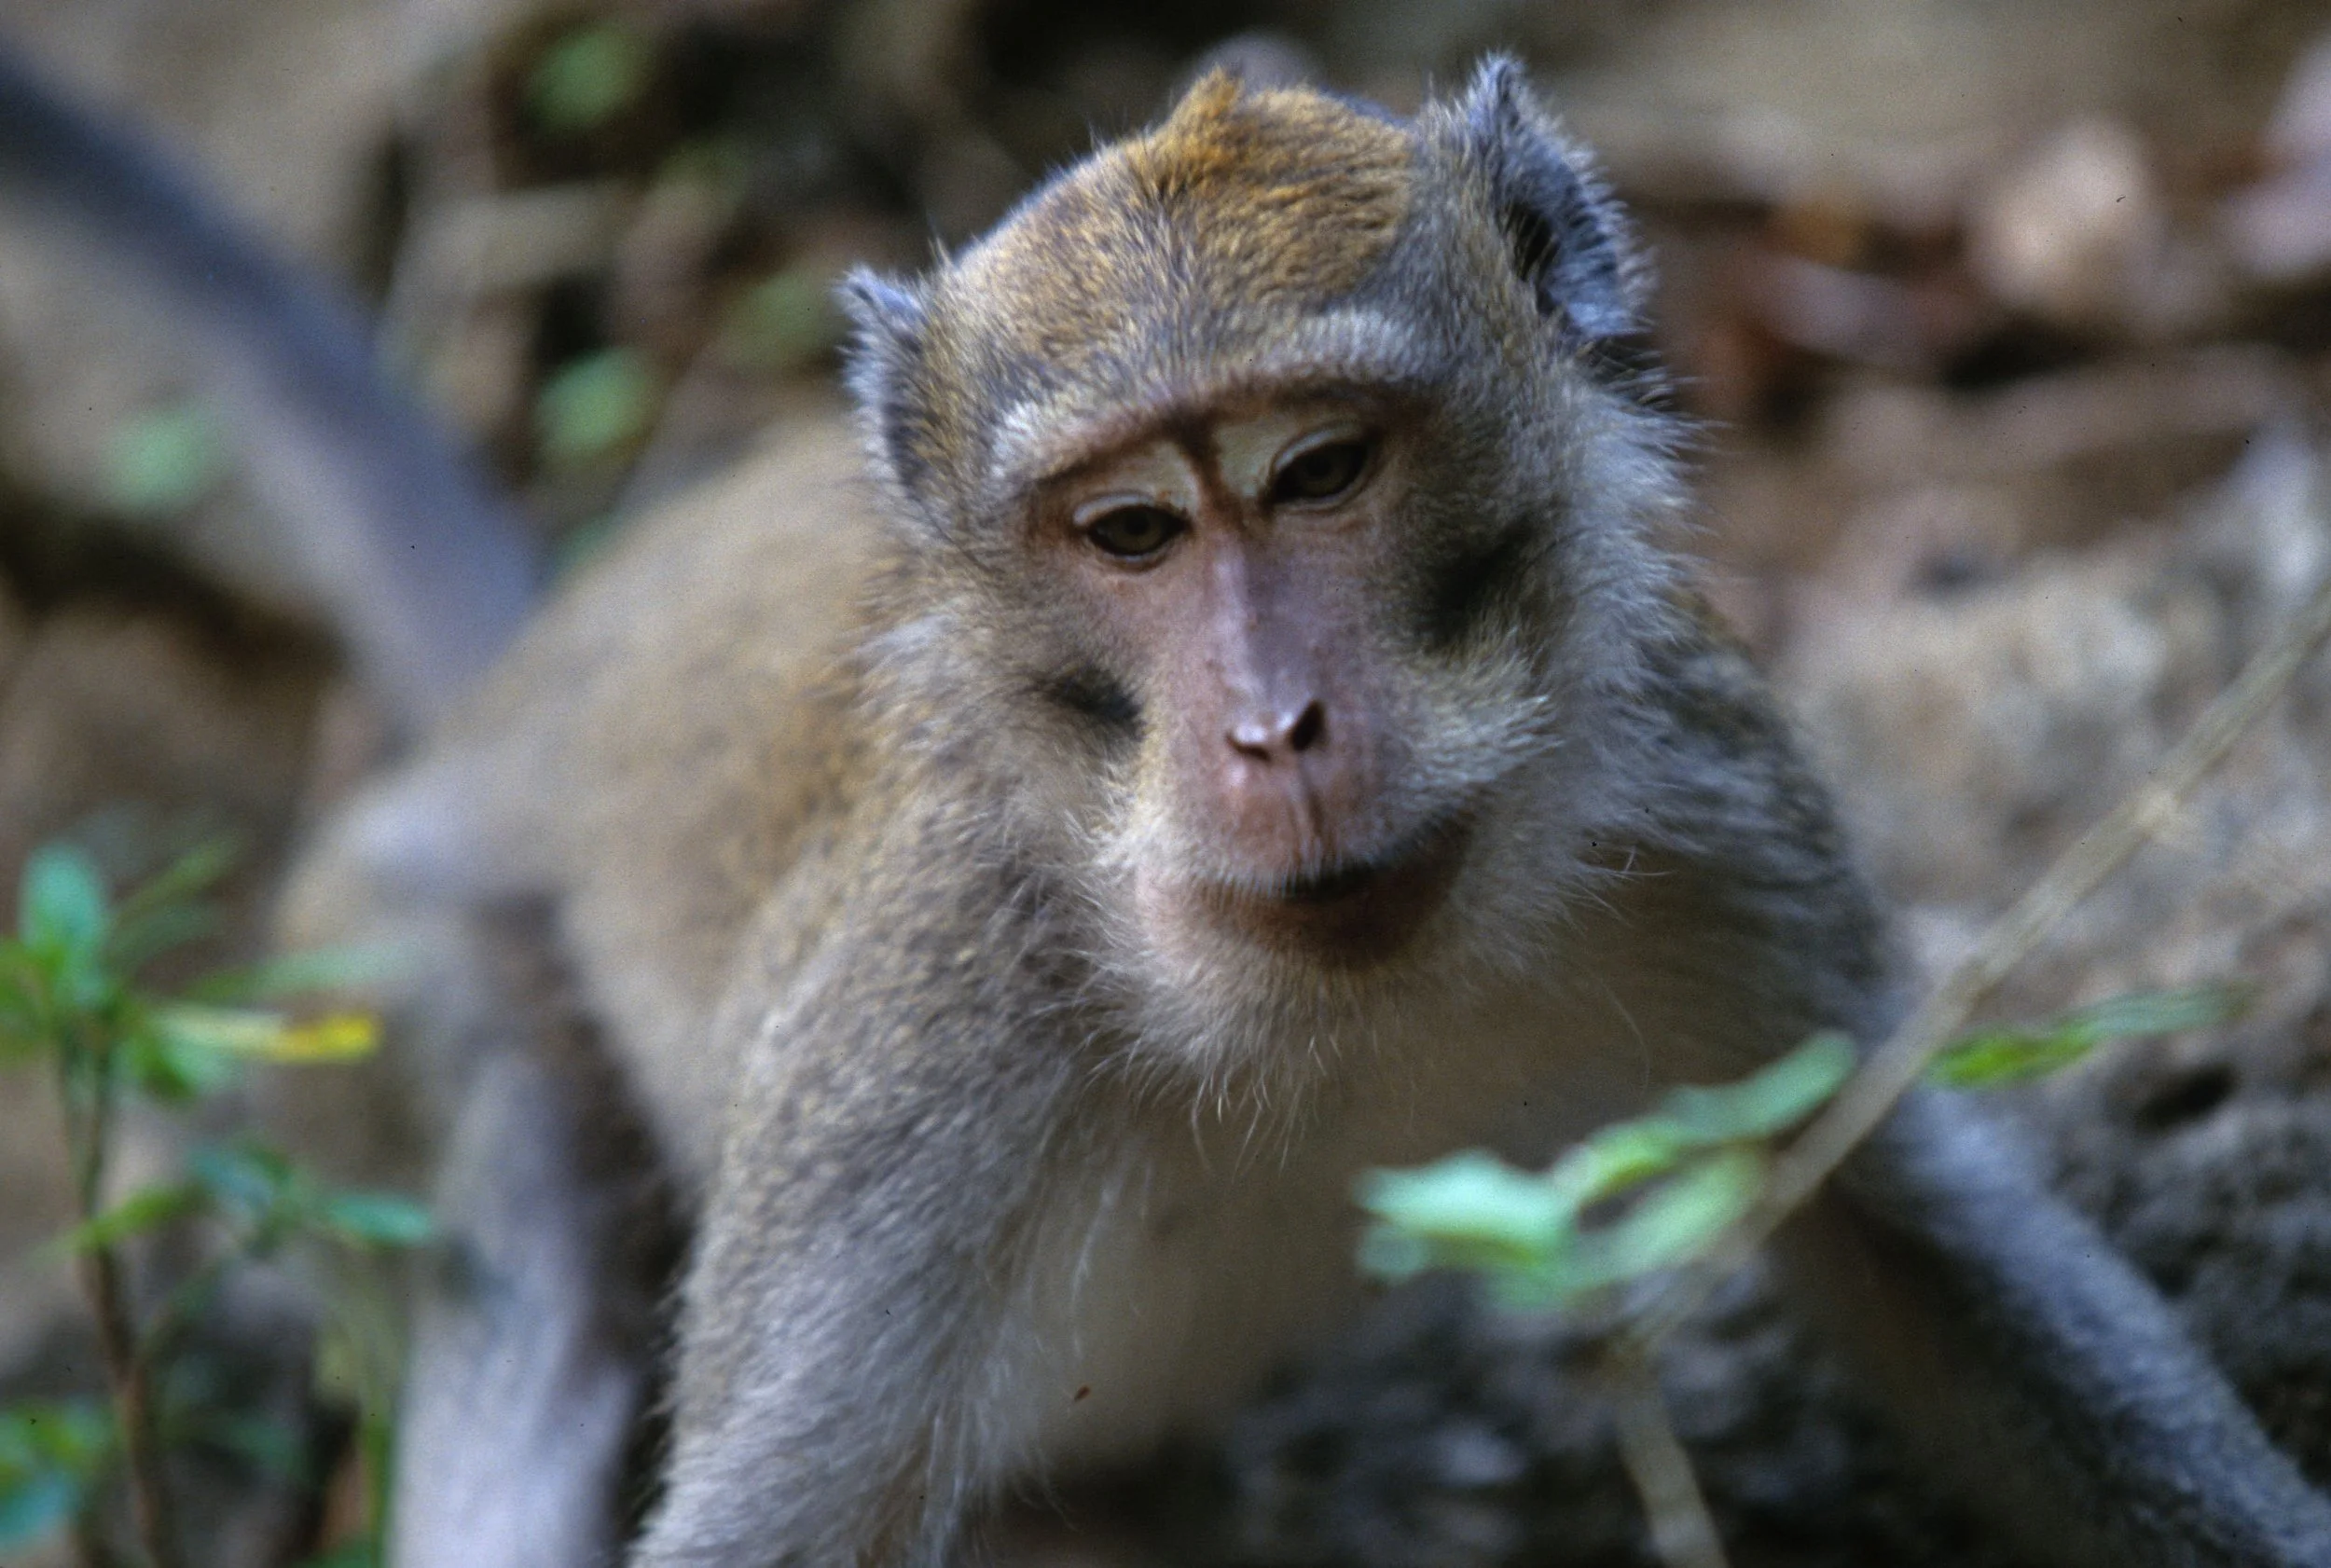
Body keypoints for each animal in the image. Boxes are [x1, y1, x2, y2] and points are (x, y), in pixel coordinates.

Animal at [7, 41, 2331, 1568]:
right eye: (1126, 529)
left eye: (1317, 471)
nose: (1270, 728)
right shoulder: (929, 1009)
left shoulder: (1701, 803)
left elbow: (1902, 1222)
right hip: (367, 967)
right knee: (523, 1212)